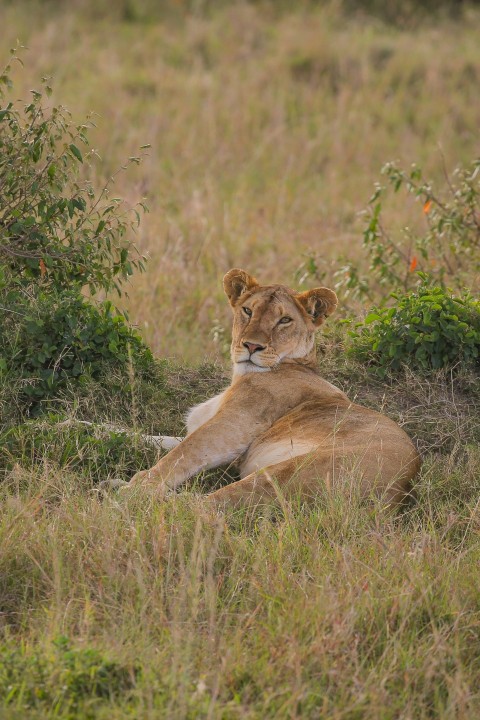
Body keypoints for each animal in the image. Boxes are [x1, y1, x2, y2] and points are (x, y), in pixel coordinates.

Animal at [128, 268, 421, 508]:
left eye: (284, 321)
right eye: (248, 311)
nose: (252, 346)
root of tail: (398, 495)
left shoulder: (235, 425)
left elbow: (183, 454)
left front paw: (142, 483)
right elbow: (154, 438)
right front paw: (115, 432)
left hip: (285, 473)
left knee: (207, 505)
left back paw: (126, 495)